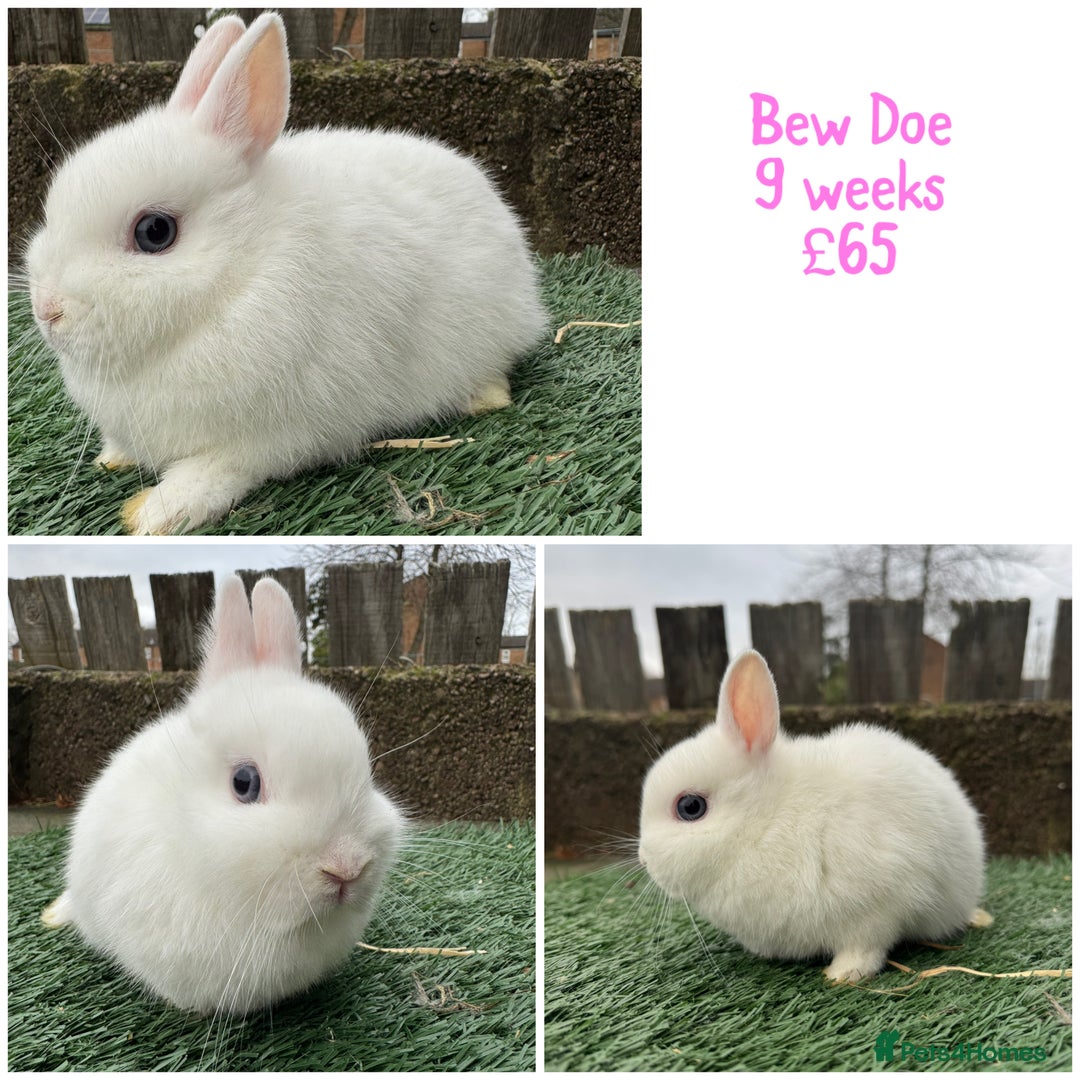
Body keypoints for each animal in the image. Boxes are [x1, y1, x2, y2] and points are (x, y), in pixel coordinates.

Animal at [25, 12, 548, 535]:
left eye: (155, 232)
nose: (47, 310)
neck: (241, 278)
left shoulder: (269, 439)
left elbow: (214, 473)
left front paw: (153, 514)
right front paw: (112, 458)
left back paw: (485, 396)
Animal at [638, 649, 987, 983]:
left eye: (690, 807)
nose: (643, 858)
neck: (766, 823)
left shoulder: (880, 906)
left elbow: (866, 946)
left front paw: (843, 975)